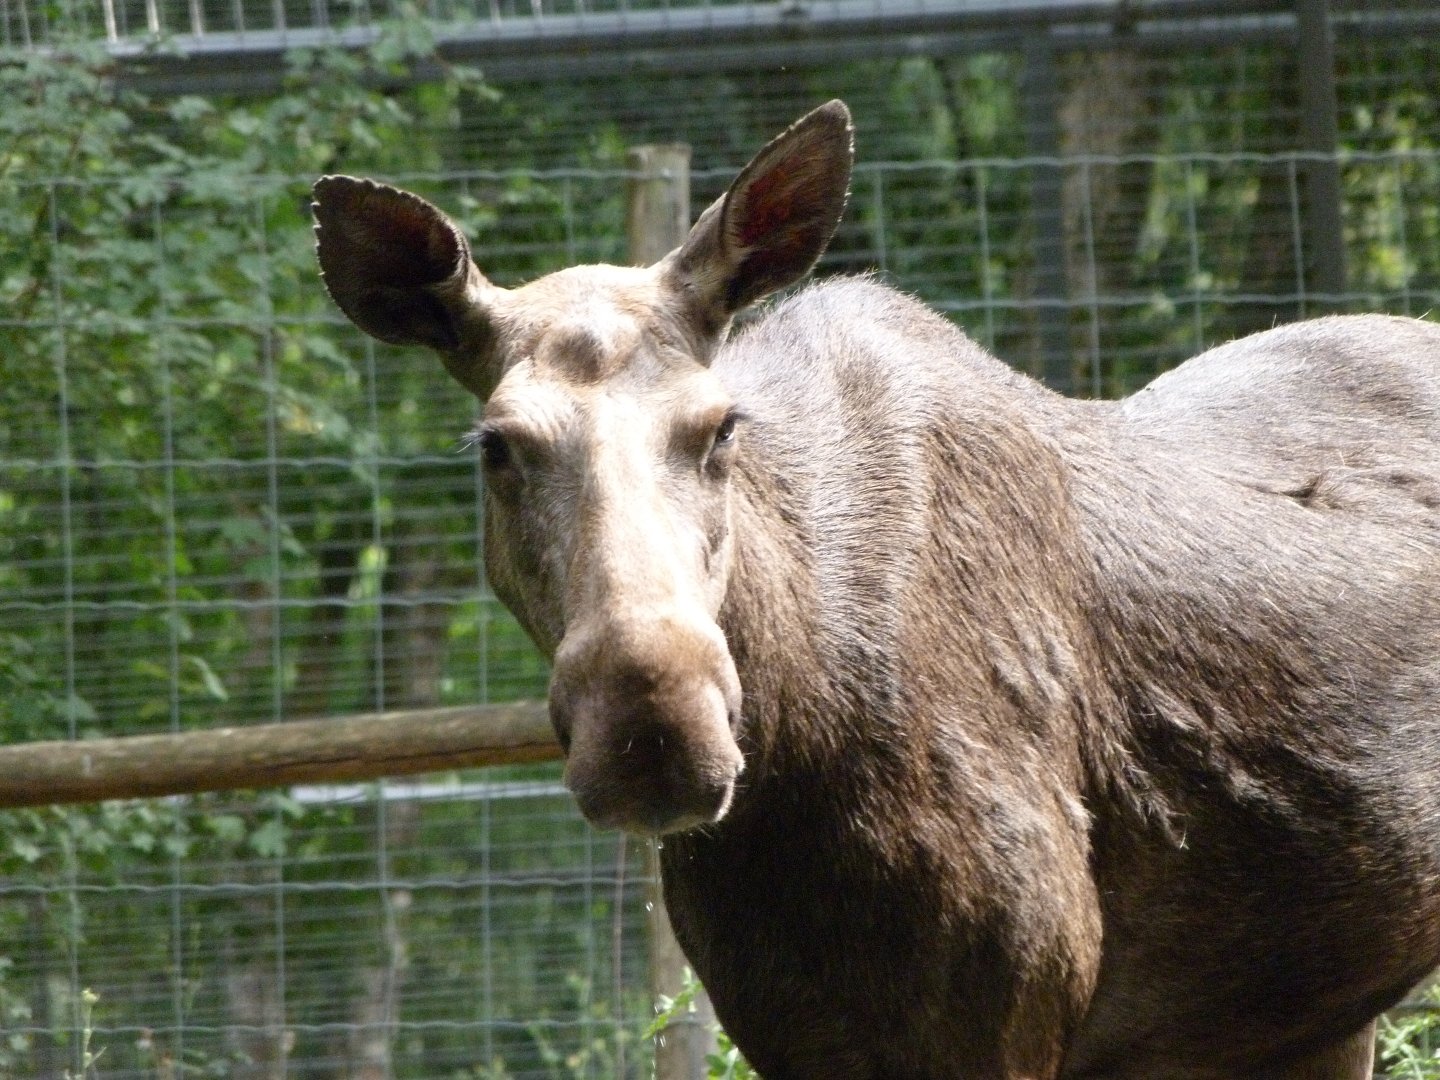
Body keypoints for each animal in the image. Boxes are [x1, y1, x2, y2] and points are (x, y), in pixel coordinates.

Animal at [312, 101, 1440, 1079]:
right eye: (497, 445)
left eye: (720, 427)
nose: (653, 726)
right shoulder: (796, 1031)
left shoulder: (1003, 1020)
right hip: (1299, 1016)